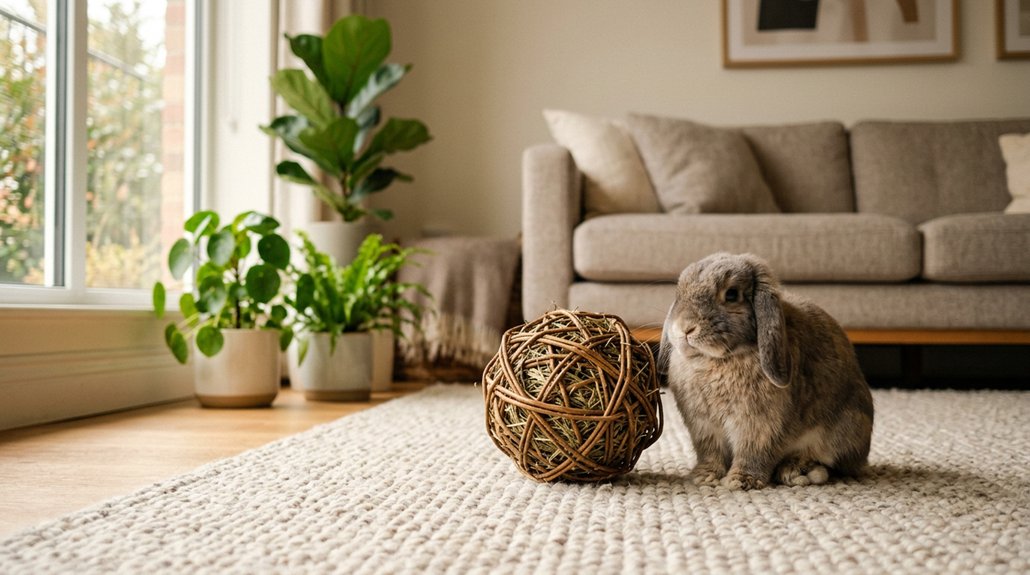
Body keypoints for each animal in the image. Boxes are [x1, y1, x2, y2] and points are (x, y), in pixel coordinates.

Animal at [659, 252, 874, 490]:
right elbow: (711, 453)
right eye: (679, 292)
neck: (718, 359)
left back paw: (798, 472)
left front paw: (740, 481)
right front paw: (705, 477)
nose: (684, 328)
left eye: (731, 294)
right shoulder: (704, 428)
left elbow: (753, 452)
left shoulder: (759, 426)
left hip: (844, 430)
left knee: (830, 461)